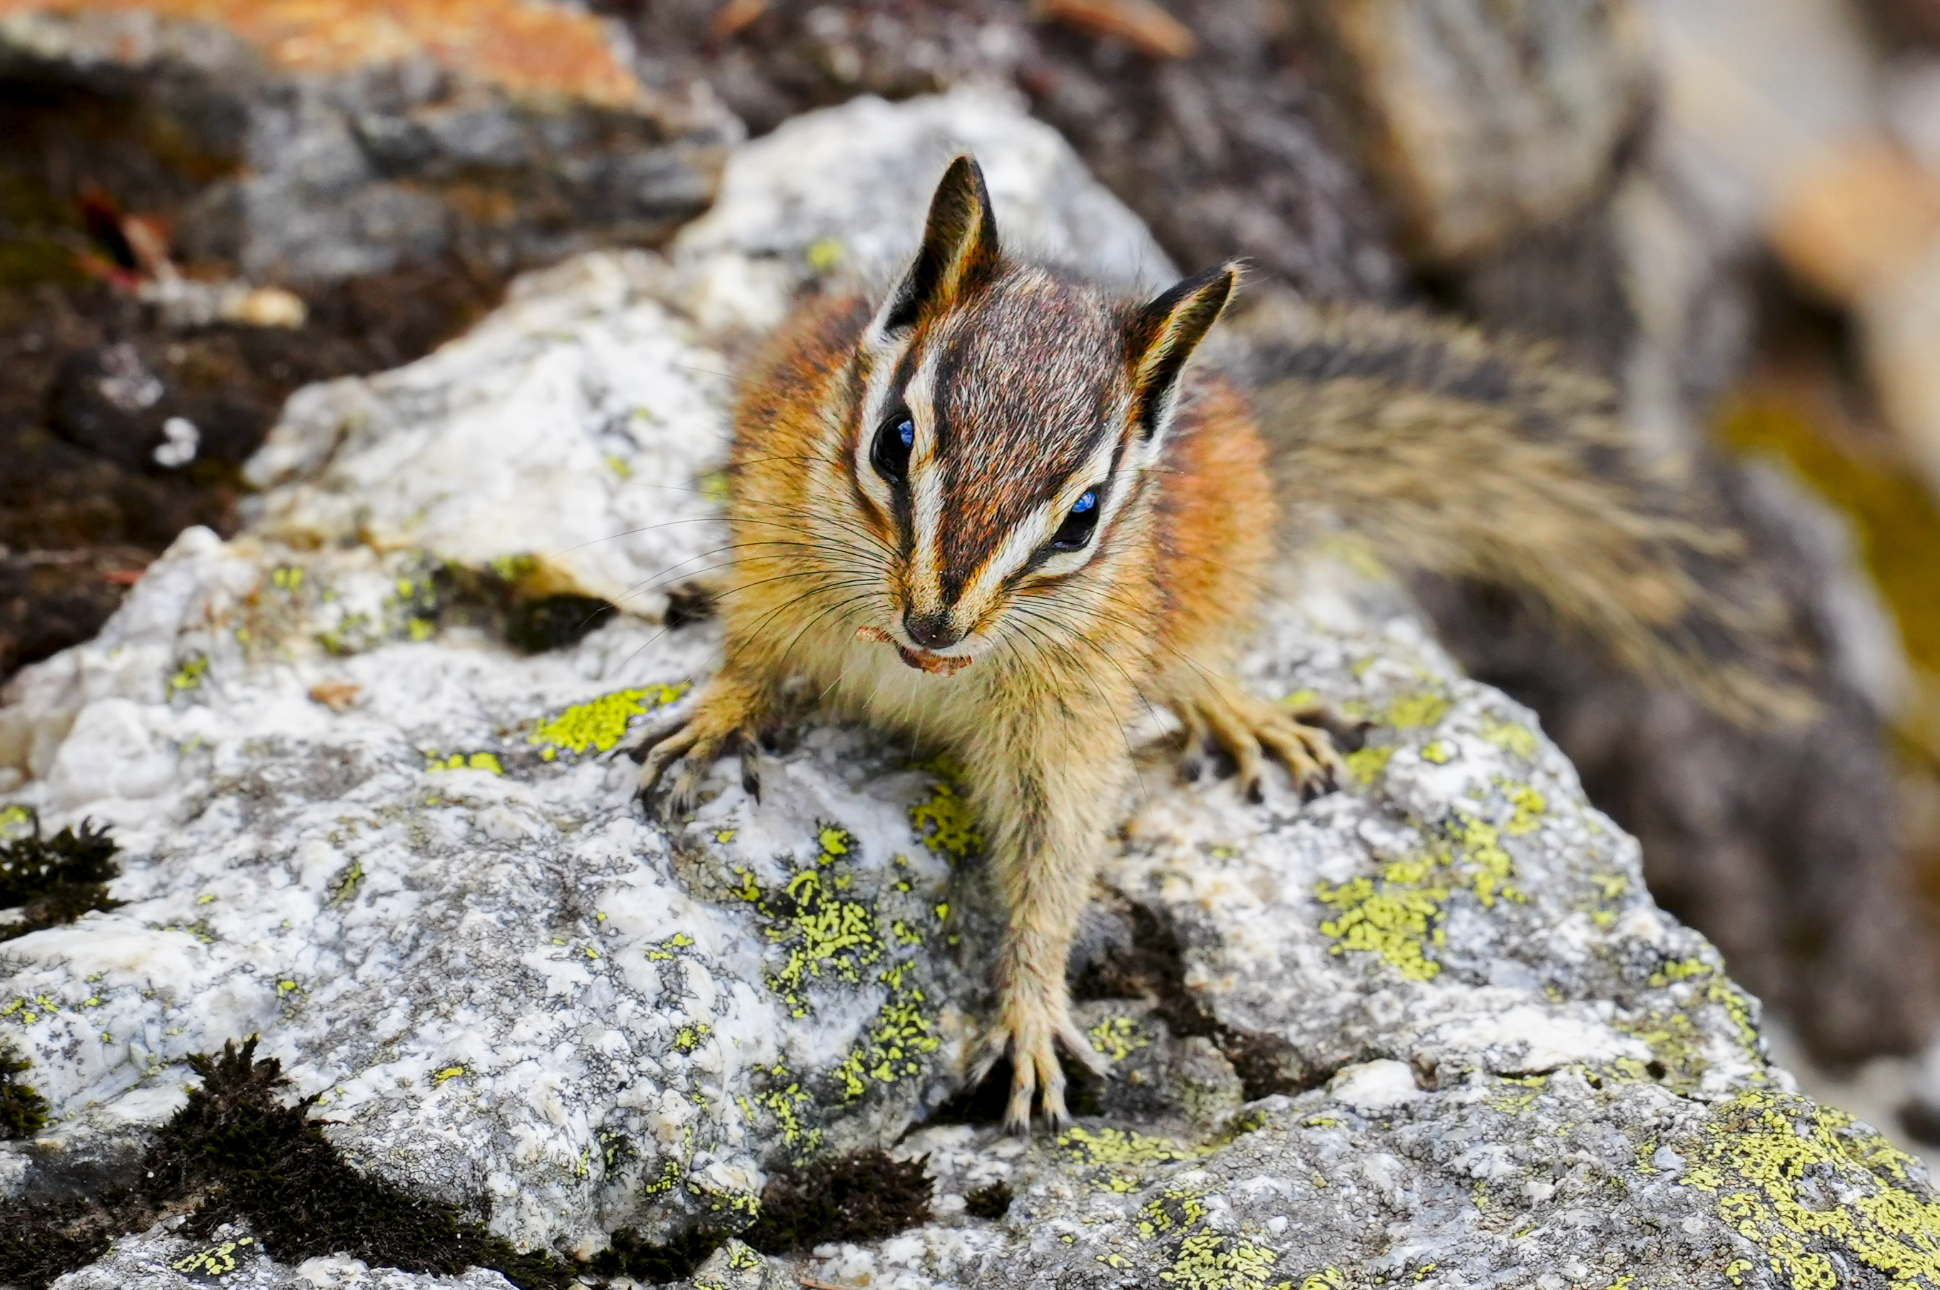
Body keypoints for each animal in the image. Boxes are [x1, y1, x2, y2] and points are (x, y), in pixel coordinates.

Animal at [632, 155, 1812, 1131]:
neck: (915, 665)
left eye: (1082, 517)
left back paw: (1241, 715)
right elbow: (749, 651)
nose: (935, 622)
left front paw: (1030, 1013)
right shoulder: (773, 553)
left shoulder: (1072, 726)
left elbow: (1056, 859)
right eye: (891, 440)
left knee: (1201, 665)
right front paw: (715, 718)